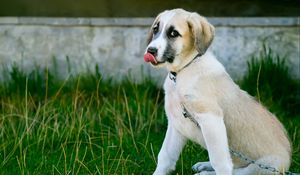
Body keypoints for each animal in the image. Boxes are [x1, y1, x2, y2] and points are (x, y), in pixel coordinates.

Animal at [144, 8, 292, 175]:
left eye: (173, 33)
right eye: (155, 29)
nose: (150, 51)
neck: (183, 71)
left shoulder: (211, 119)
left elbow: (220, 161)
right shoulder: (176, 122)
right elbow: (165, 156)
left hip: (264, 166)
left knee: (238, 171)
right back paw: (204, 166)